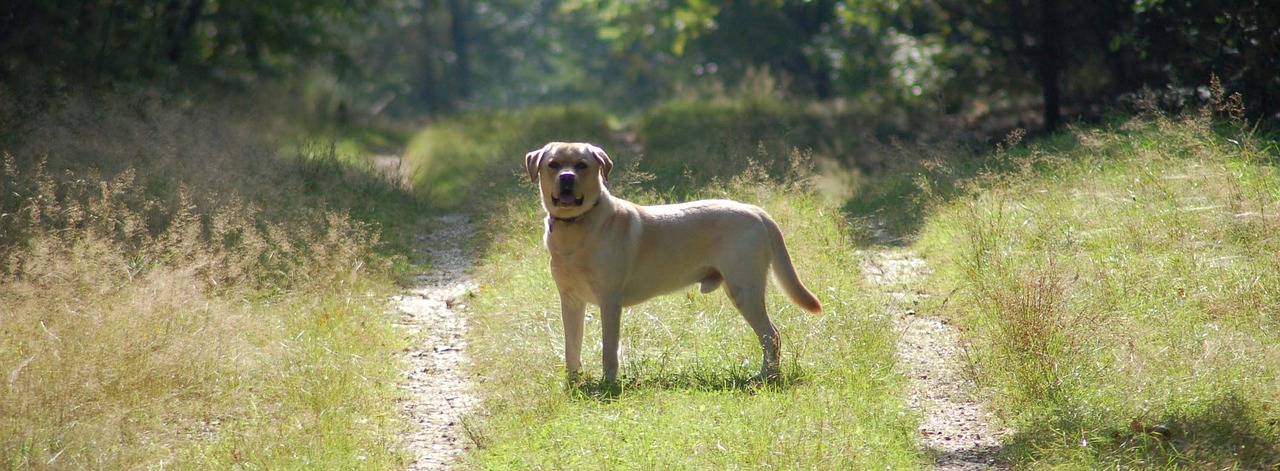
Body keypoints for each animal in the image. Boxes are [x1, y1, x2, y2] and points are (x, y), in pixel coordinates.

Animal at [524, 140, 824, 383]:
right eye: (553, 164)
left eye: (582, 165)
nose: (566, 177)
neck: (575, 227)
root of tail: (757, 211)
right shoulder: (571, 300)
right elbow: (571, 347)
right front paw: (573, 383)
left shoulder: (609, 300)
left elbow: (608, 349)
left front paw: (607, 384)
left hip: (744, 290)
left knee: (771, 335)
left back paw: (766, 376)